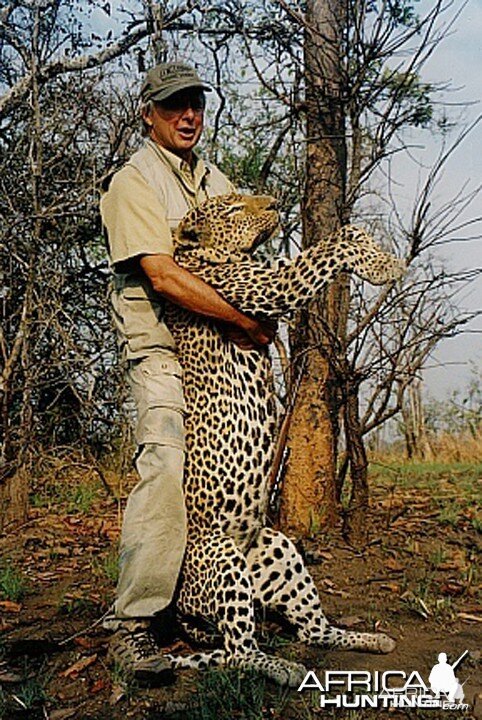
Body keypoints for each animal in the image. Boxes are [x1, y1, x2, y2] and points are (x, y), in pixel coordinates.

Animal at [161, 193, 402, 688]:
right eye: (232, 209)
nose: (273, 202)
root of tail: (182, 604)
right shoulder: (271, 285)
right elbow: (338, 241)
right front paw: (384, 265)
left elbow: (337, 240)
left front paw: (383, 259)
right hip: (224, 560)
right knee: (238, 651)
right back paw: (283, 669)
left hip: (278, 549)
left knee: (314, 631)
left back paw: (370, 640)